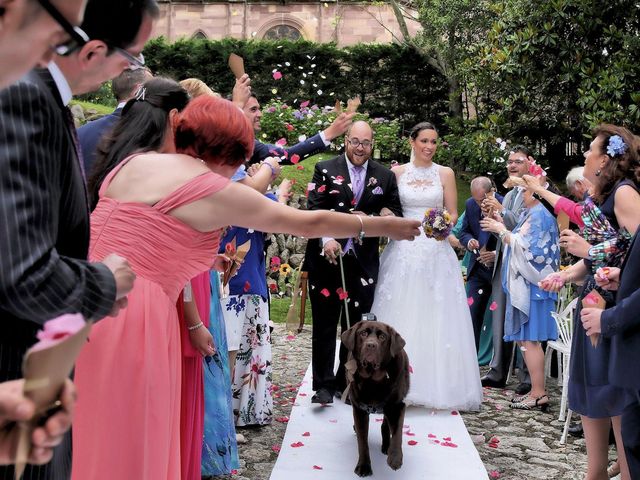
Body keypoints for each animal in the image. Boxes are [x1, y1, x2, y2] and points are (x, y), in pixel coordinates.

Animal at [340, 318, 410, 476]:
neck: (373, 380)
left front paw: (395, 458)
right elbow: (362, 442)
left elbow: (397, 433)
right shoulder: (359, 409)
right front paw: (364, 466)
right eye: (363, 333)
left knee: (386, 423)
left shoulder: (397, 406)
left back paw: (386, 446)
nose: (371, 345)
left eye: (383, 337)